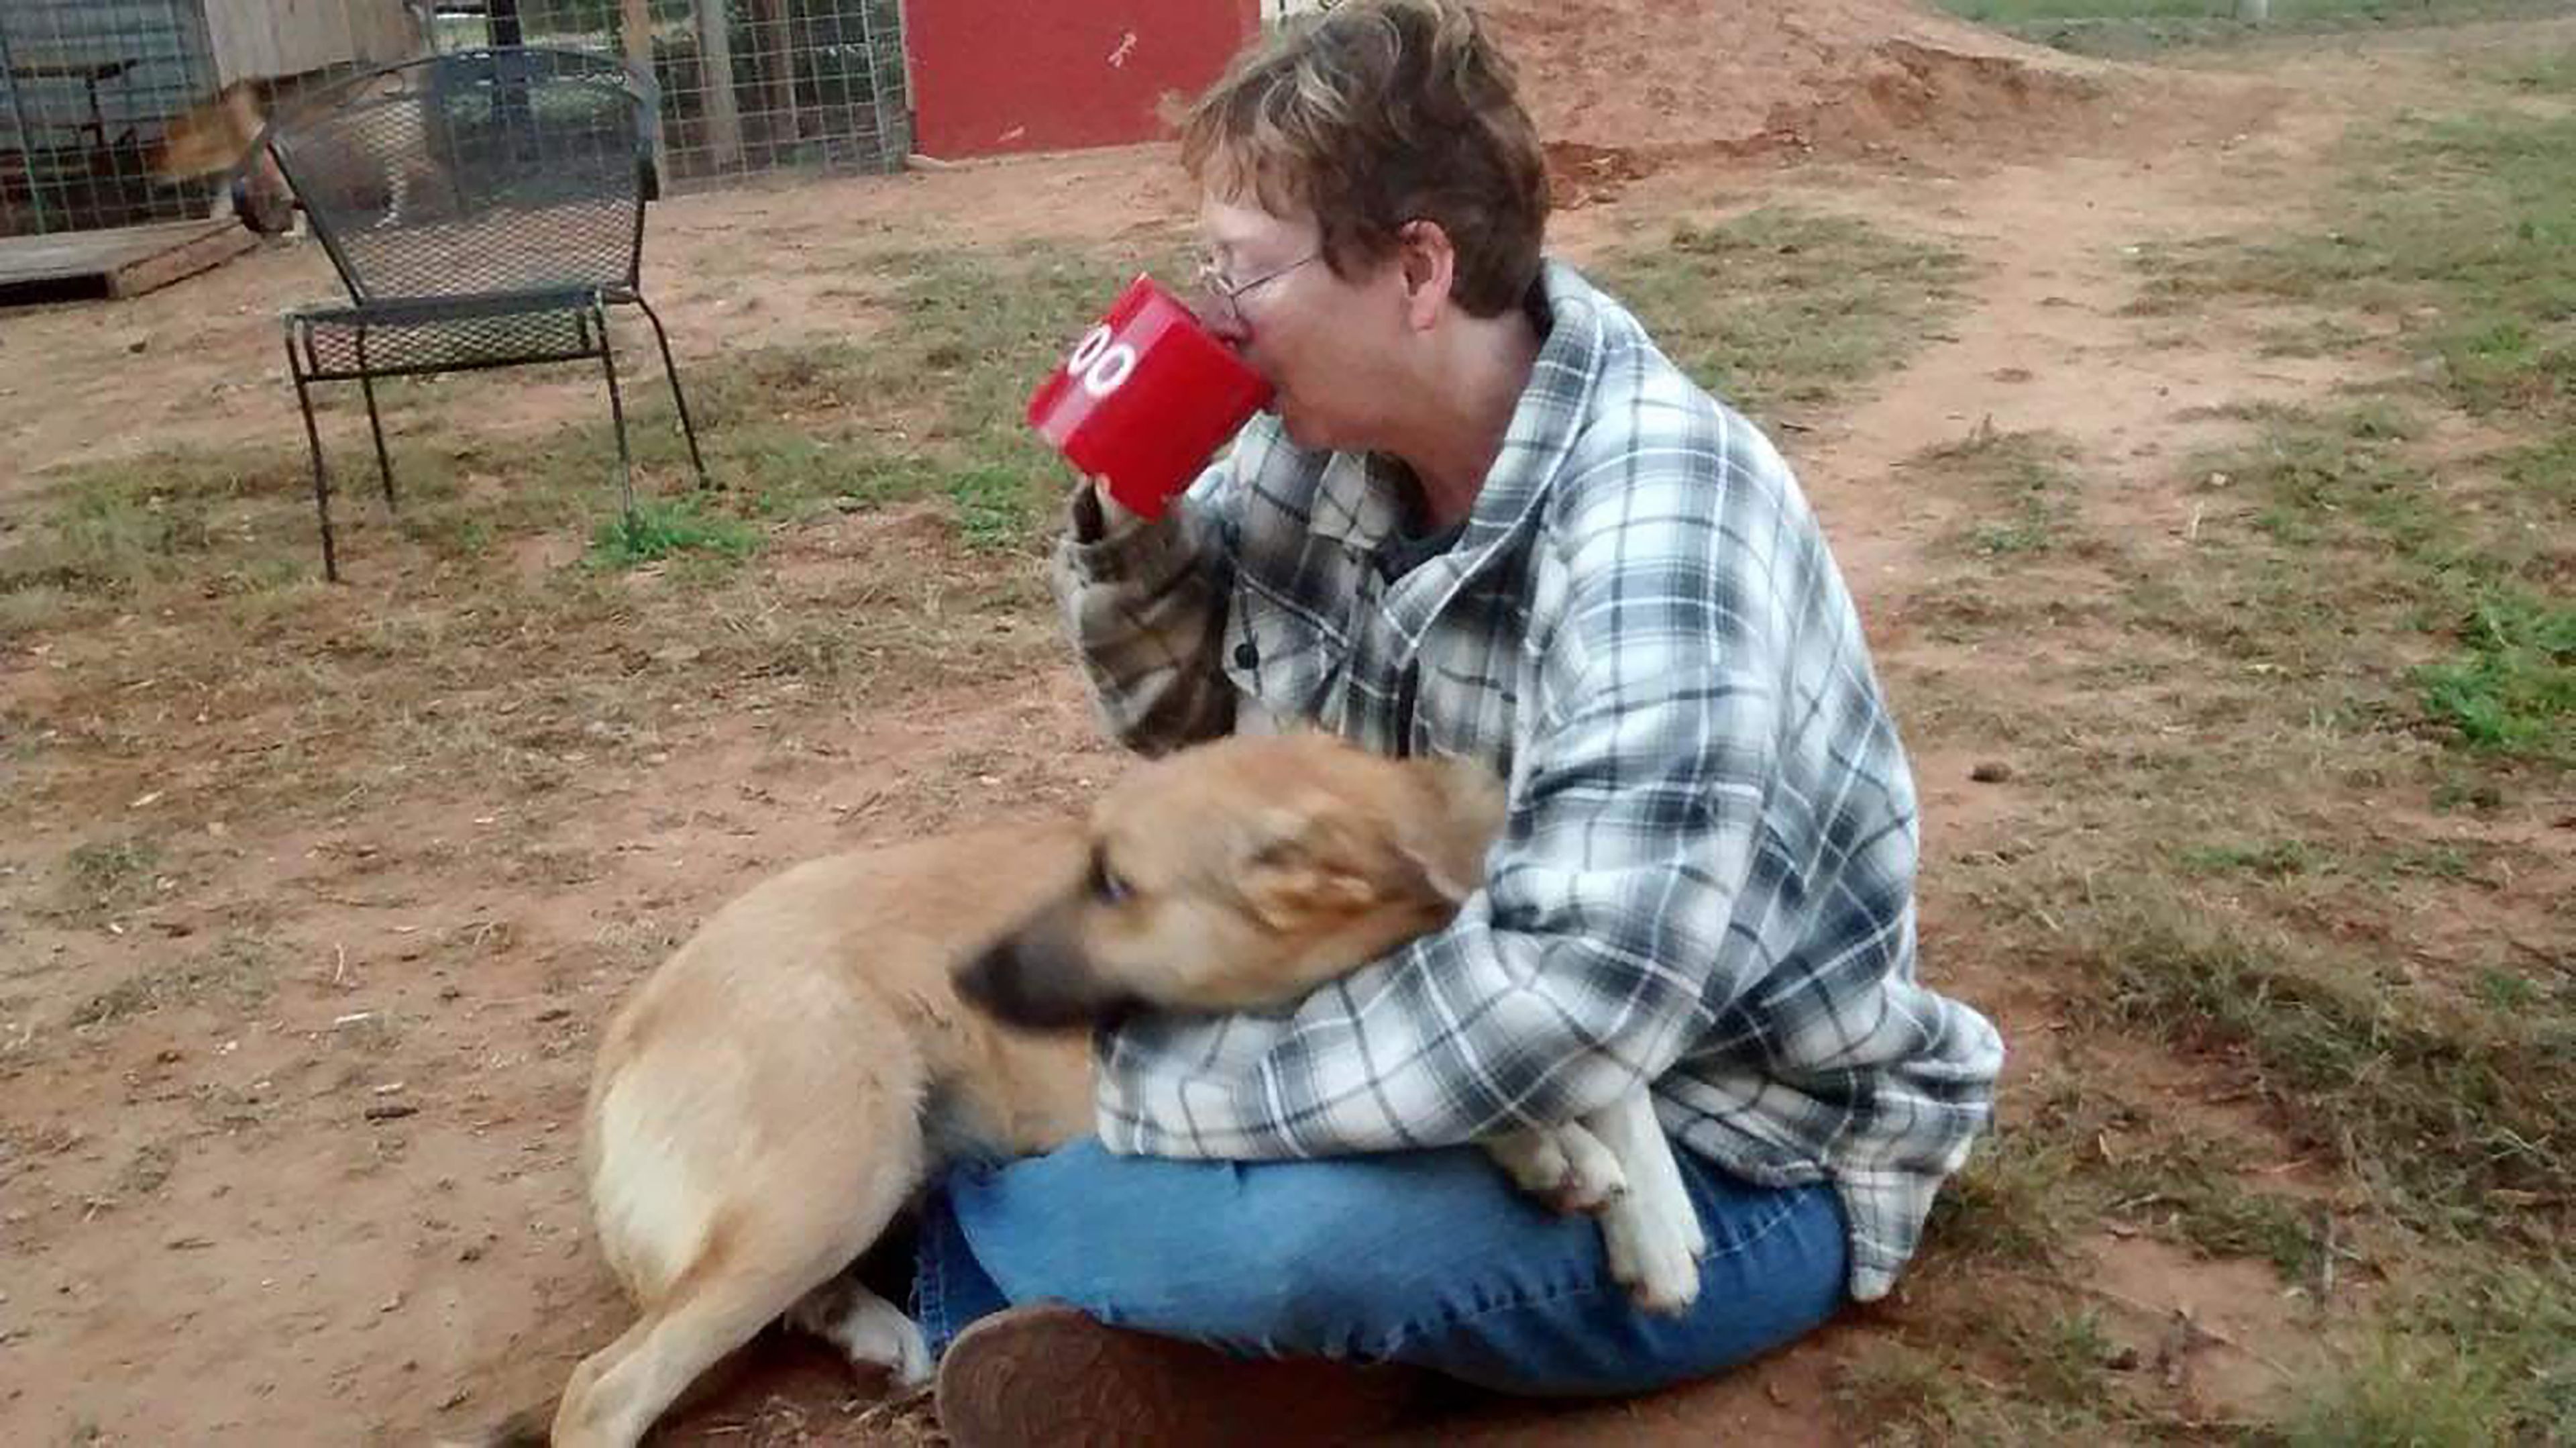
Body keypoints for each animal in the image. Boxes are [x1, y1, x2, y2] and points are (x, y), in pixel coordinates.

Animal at [517, 731, 1710, 1443]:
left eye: (1114, 883)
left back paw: (875, 1332)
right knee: (606, 1385)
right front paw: (1558, 1152)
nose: (964, 978)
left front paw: (1653, 1217)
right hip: (838, 1166)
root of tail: (638, 1011)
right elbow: (1438, 1094)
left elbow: (1606, 1076)